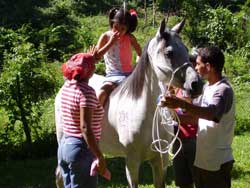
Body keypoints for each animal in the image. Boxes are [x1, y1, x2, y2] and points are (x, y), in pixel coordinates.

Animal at [54, 19, 203, 188]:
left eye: (186, 50)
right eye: (169, 53)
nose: (196, 84)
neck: (145, 113)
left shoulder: (159, 161)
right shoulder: (132, 163)